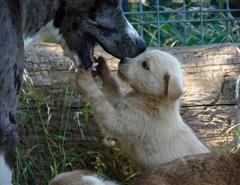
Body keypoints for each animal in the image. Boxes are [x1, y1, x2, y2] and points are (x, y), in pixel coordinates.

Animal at [76, 48, 209, 171]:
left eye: (145, 65)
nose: (122, 59)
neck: (152, 100)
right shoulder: (121, 104)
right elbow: (113, 87)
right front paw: (103, 67)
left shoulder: (121, 122)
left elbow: (100, 101)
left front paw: (85, 79)